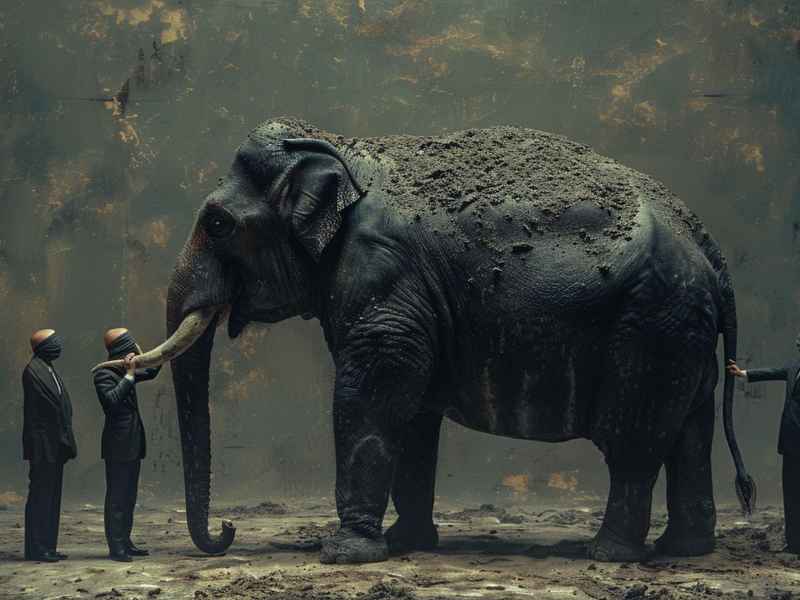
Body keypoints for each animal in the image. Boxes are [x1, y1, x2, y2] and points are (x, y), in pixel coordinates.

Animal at [100, 117, 755, 564]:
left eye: (216, 224)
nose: (229, 533)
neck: (341, 147)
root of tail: (710, 248)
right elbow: (412, 412)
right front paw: (405, 542)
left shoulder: (382, 275)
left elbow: (372, 391)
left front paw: (345, 555)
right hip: (681, 329)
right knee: (691, 434)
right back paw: (683, 549)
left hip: (650, 327)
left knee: (634, 443)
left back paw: (607, 553)